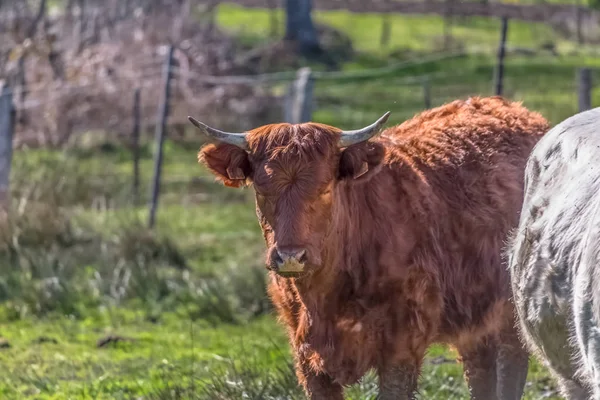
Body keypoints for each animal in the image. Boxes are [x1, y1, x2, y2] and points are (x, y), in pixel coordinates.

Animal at [191, 95, 548, 398]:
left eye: (324, 188)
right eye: (262, 190)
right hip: (474, 315)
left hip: (512, 310)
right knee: (480, 370)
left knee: (511, 366)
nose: (291, 256)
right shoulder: (307, 356)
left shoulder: (402, 346)